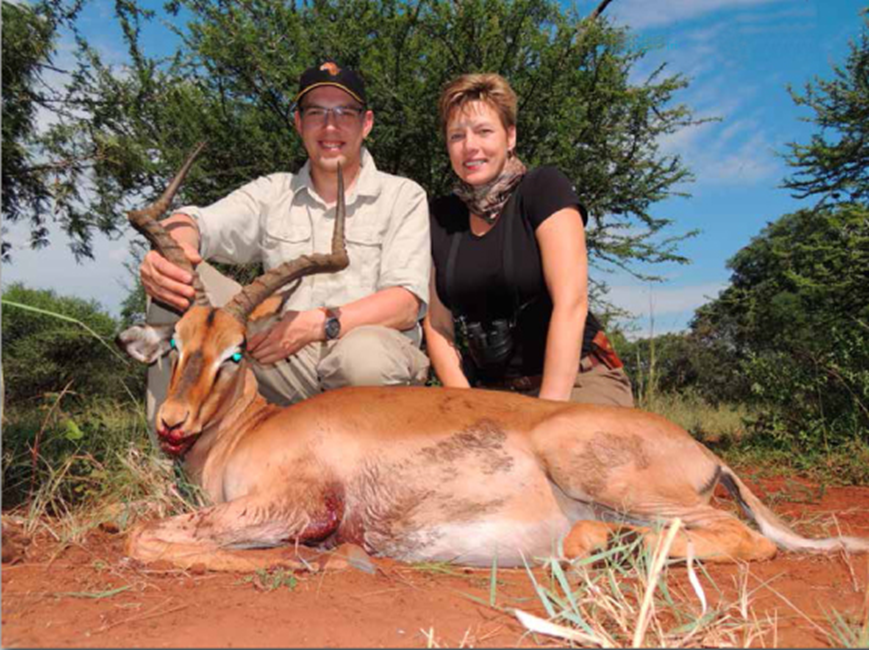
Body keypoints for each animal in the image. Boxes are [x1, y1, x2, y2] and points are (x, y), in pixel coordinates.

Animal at [118, 146, 869, 572]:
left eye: (236, 351)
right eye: (178, 344)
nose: (173, 424)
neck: (253, 430)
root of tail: (703, 453)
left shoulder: (296, 502)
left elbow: (148, 537)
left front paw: (320, 561)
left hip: (611, 480)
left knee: (744, 538)